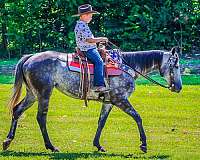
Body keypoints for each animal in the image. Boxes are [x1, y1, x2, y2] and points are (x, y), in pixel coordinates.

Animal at [2, 47, 181, 153]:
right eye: (176, 66)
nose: (178, 87)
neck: (127, 66)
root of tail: (30, 57)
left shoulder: (108, 102)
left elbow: (101, 122)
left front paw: (98, 145)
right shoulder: (120, 99)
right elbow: (138, 117)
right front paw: (143, 144)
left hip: (32, 94)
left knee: (17, 110)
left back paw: (7, 141)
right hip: (44, 93)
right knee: (41, 117)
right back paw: (51, 146)